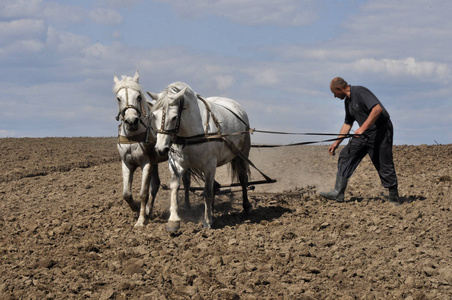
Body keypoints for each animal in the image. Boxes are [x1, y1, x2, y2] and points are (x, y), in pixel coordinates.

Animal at [150, 81, 252, 231]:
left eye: (174, 117)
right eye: (154, 116)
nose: (160, 149)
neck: (190, 133)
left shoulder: (209, 165)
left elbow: (207, 192)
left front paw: (207, 221)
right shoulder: (177, 164)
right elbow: (175, 187)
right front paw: (173, 221)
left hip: (241, 154)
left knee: (243, 179)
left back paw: (246, 206)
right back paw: (212, 210)